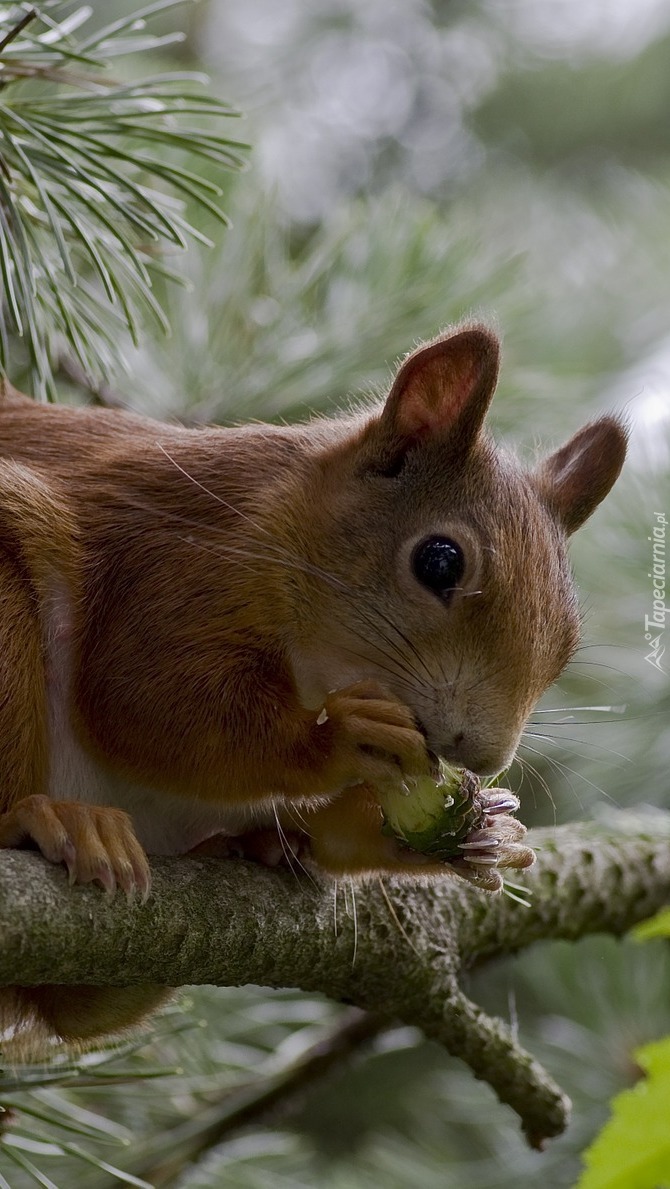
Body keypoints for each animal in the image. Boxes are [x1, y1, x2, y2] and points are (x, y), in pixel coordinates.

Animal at [0, 328, 623, 1051]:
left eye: (569, 639)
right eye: (439, 561)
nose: (483, 755)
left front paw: (477, 830)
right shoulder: (168, 566)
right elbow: (140, 703)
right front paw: (342, 737)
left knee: (81, 1007)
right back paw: (55, 821)